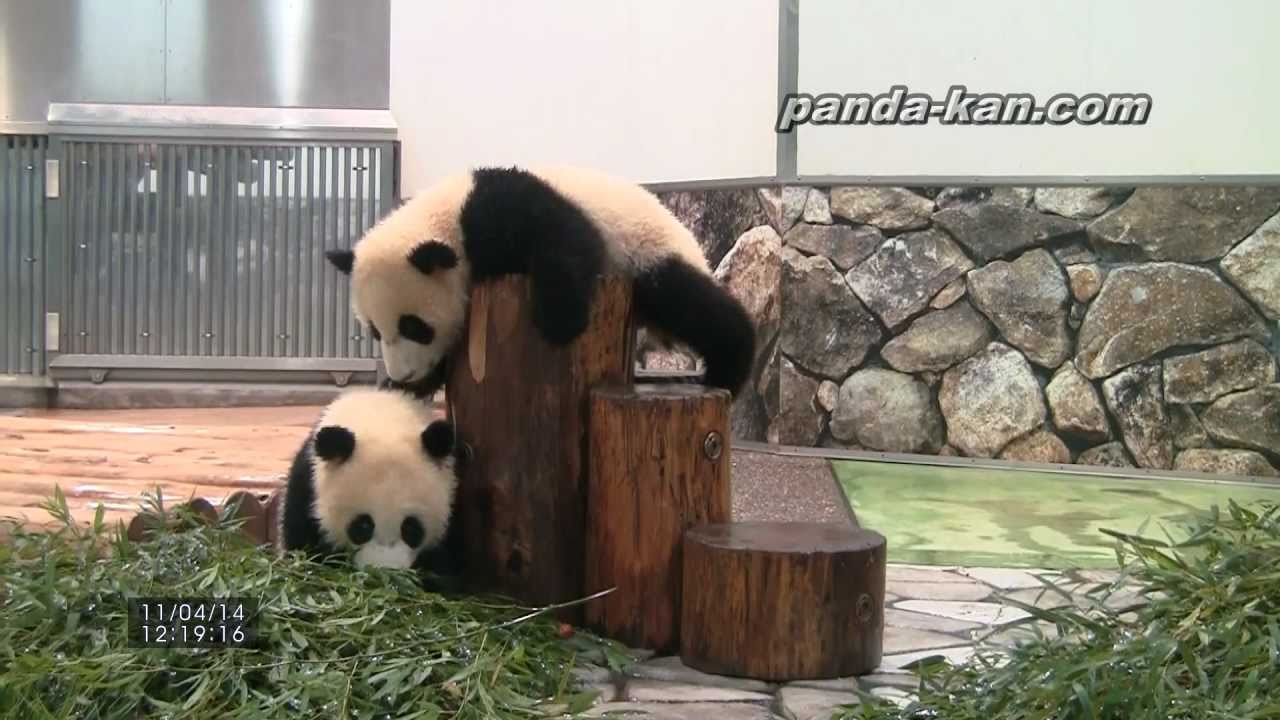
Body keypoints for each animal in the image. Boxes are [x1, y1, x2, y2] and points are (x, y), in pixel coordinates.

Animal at [324, 164, 755, 398]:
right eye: (375, 332)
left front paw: (559, 322)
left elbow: (568, 238)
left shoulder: (499, 210)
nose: (402, 374)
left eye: (414, 326)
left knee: (693, 305)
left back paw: (728, 370)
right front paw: (413, 385)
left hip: (647, 253)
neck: (446, 218)